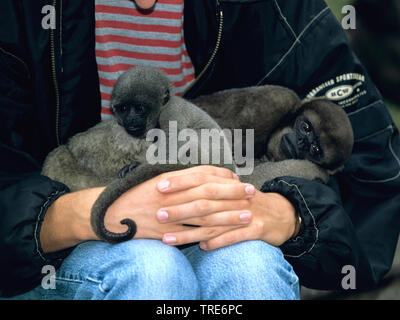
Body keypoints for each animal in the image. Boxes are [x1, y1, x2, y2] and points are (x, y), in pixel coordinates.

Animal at [41, 67, 234, 242]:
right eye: (124, 108)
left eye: (139, 108)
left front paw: (137, 165)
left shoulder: (171, 112)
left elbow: (174, 142)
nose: (130, 119)